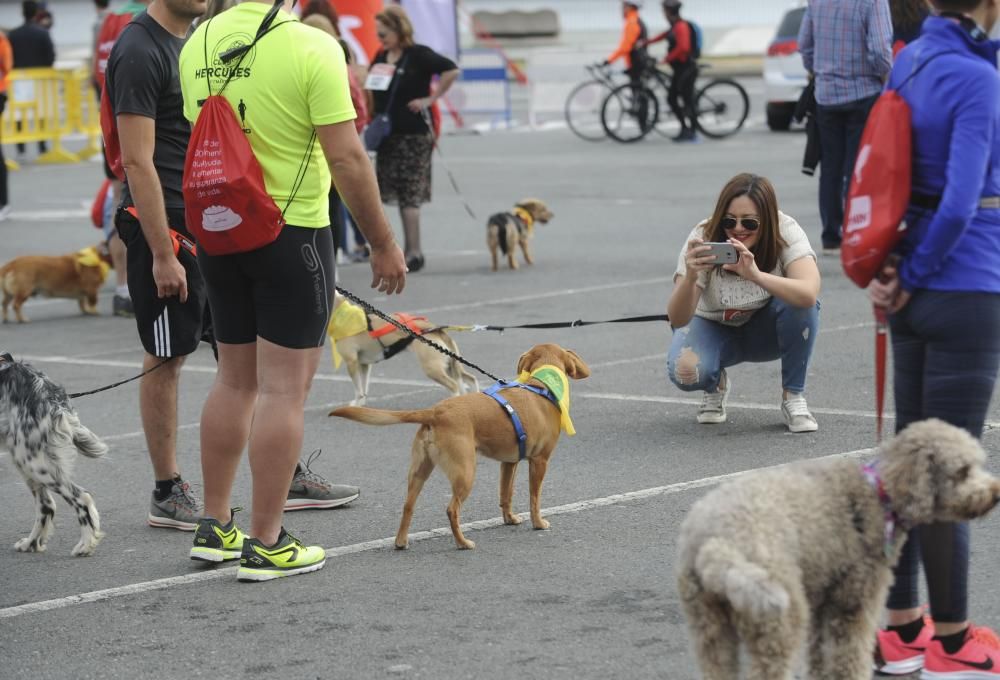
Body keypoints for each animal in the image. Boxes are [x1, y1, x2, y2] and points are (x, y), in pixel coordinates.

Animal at [0, 354, 107, 556]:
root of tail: (47, 392)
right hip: (28, 461)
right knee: (47, 506)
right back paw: (30, 543)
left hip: (33, 462)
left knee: (80, 498)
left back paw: (85, 545)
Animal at [326, 294, 478, 410]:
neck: (340, 313)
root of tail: (434, 329)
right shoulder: (364, 364)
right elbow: (363, 387)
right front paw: (361, 404)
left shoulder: (351, 362)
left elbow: (358, 389)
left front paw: (356, 404)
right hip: (451, 366)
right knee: (471, 379)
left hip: (433, 368)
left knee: (454, 386)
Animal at [332, 342, 588, 548]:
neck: (540, 385)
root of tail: (435, 412)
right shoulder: (539, 461)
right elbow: (535, 498)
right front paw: (538, 523)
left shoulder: (509, 462)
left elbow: (506, 494)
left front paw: (510, 519)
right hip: (465, 472)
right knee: (452, 509)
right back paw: (463, 543)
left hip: (419, 471)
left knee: (407, 506)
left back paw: (401, 541)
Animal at [676, 420, 996, 680]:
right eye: (963, 471)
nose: (995, 493)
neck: (879, 494)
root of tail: (717, 543)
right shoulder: (854, 604)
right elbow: (850, 657)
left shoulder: (824, 602)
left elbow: (820, 657)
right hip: (780, 620)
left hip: (709, 625)